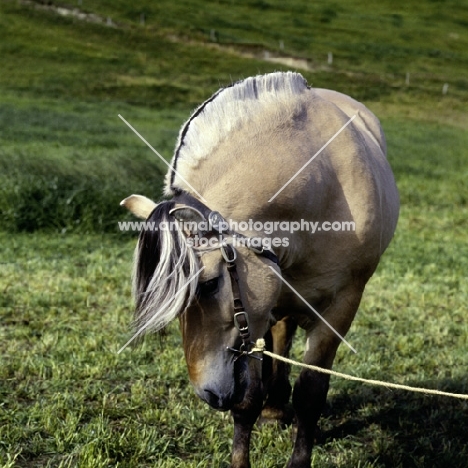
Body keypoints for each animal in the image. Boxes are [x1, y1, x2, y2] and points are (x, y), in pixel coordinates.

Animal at [121, 71, 398, 466]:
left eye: (208, 284)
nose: (208, 393)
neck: (319, 188)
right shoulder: (254, 315)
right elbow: (249, 397)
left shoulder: (341, 306)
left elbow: (311, 393)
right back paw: (275, 405)